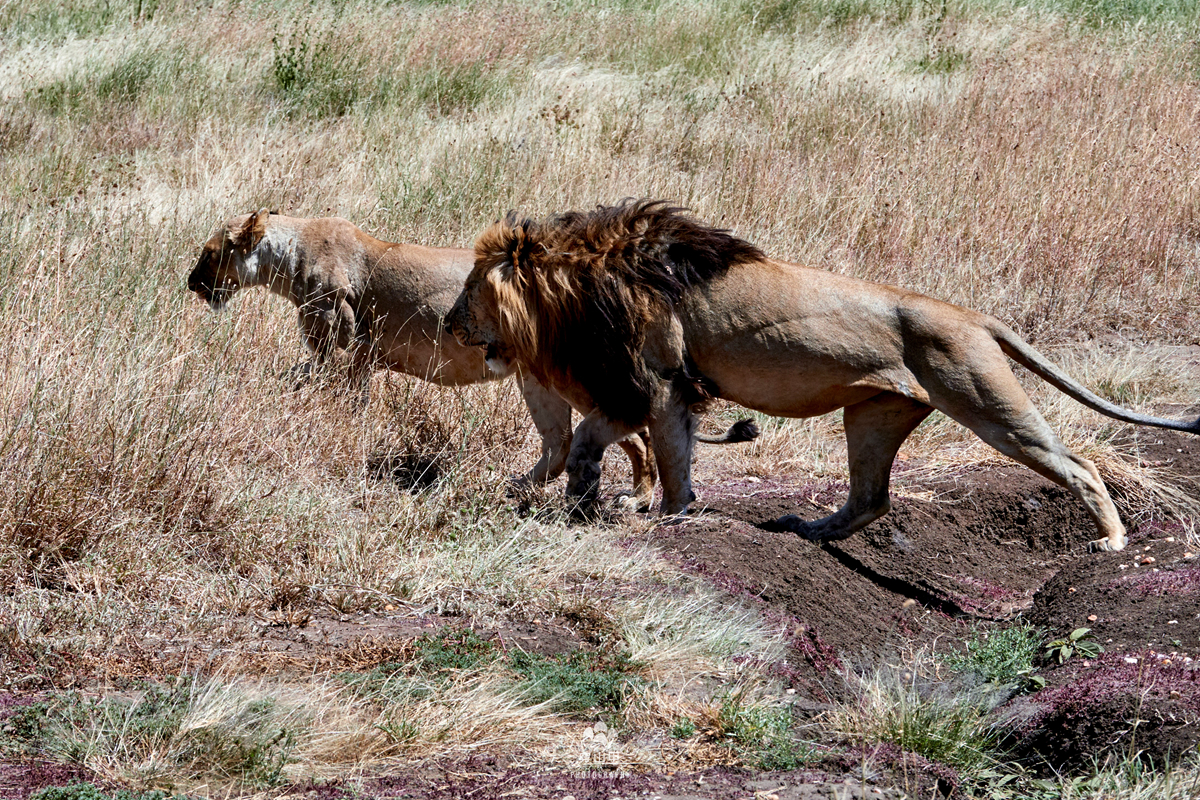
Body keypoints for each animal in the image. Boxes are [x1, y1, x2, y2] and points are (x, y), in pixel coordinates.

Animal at [448, 199, 1200, 551]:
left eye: (468, 290)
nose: (451, 325)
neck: (579, 291)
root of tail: (971, 314)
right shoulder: (642, 392)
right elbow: (593, 443)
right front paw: (583, 500)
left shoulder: (657, 384)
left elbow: (670, 457)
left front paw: (670, 515)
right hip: (872, 413)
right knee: (871, 499)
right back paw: (805, 529)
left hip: (985, 400)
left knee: (1078, 465)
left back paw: (1111, 537)